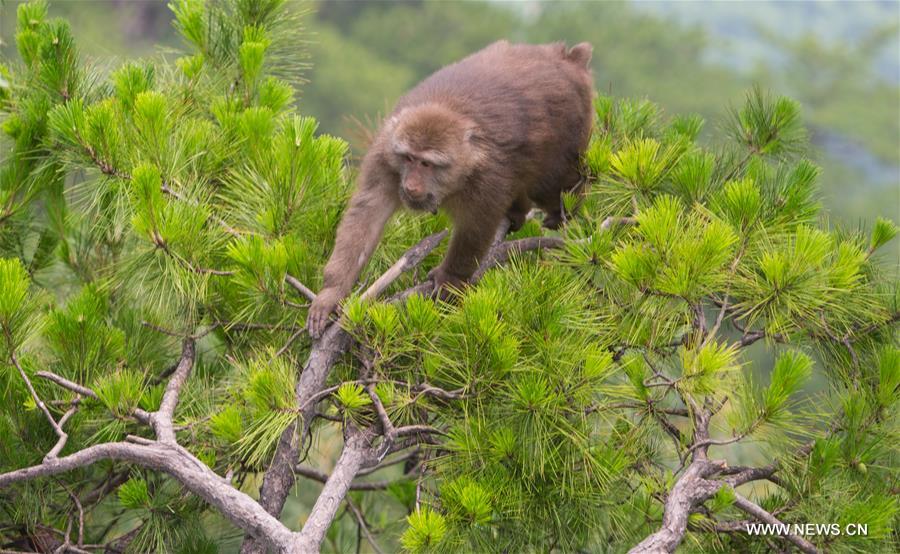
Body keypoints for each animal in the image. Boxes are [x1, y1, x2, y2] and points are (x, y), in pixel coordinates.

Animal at [306, 40, 596, 336]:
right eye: (408, 158)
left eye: (427, 164)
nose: (410, 185)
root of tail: (563, 56)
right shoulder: (385, 155)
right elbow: (368, 212)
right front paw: (331, 292)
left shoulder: (487, 175)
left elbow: (476, 223)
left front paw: (451, 276)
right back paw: (517, 210)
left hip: (571, 124)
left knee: (553, 180)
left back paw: (564, 208)